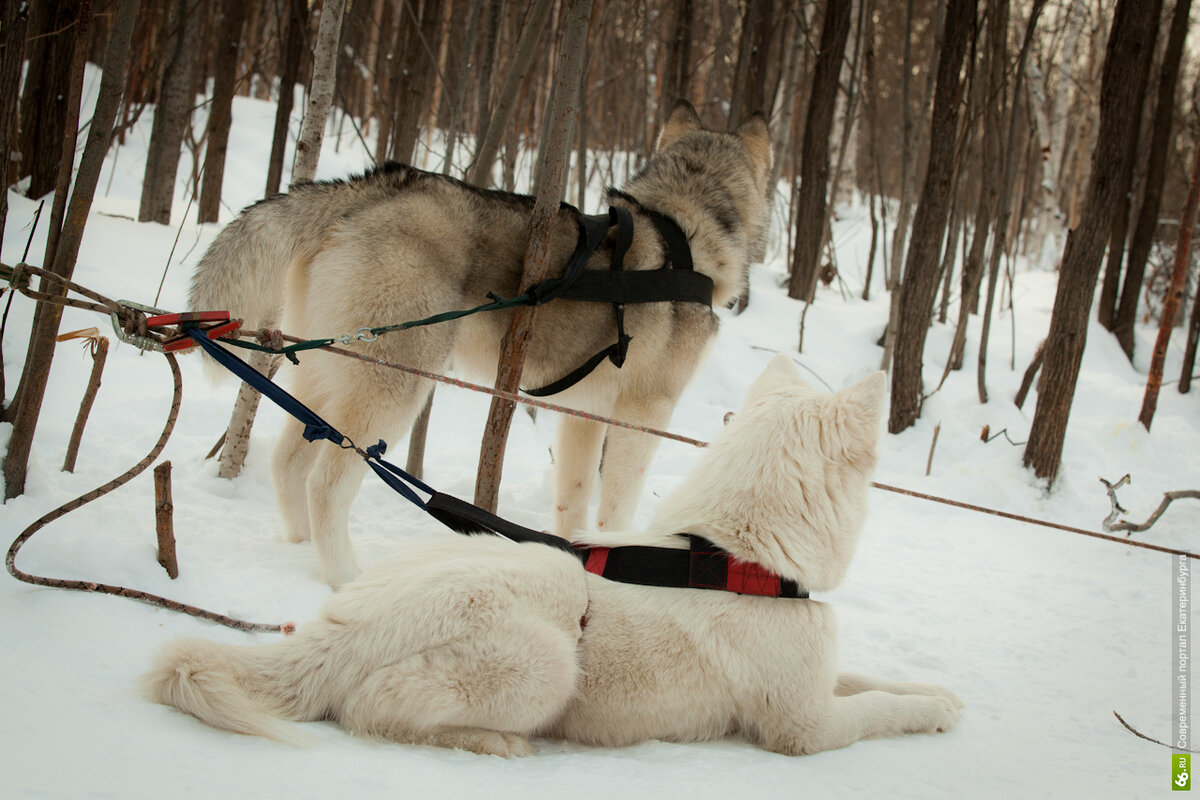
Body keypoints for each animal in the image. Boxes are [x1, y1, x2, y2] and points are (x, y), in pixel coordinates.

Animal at [145, 357, 964, 758]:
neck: (729, 555)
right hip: (547, 659)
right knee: (373, 712)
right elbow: (878, 710)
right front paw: (929, 710)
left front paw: (939, 692)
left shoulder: (818, 679)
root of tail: (335, 632)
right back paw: (497, 743)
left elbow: (872, 679)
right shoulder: (804, 727)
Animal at [187, 101, 768, 587]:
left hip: (325, 371)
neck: (684, 235)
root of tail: (383, 183)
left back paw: (301, 550)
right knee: (325, 484)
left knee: (288, 462)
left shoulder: (584, 414)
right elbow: (618, 509)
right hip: (395, 384)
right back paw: (345, 578)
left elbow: (574, 501)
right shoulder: (644, 413)